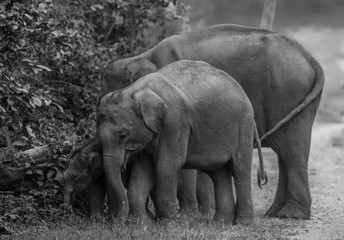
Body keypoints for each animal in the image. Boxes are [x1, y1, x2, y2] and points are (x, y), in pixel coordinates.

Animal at [96, 60, 266, 225]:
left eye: (123, 135)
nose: (115, 222)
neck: (135, 90)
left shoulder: (174, 121)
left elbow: (166, 165)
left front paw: (169, 224)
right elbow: (143, 169)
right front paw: (141, 225)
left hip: (243, 124)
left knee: (239, 168)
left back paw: (243, 223)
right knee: (219, 173)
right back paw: (220, 223)